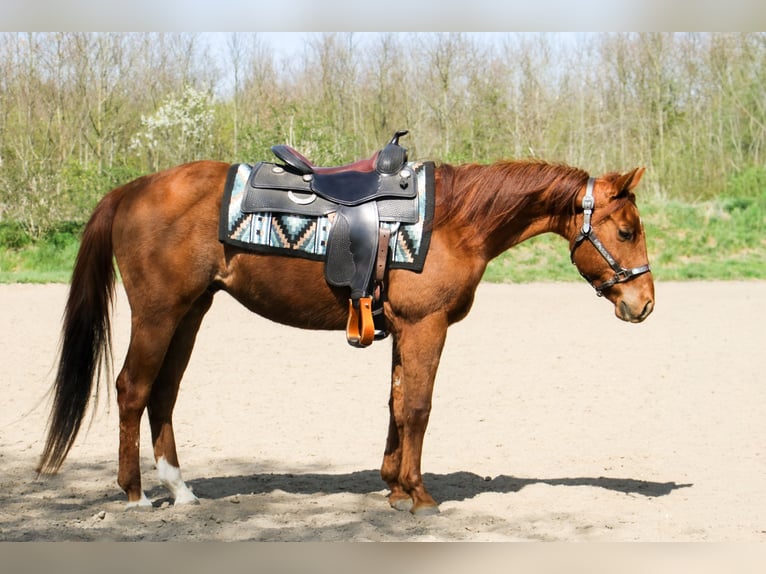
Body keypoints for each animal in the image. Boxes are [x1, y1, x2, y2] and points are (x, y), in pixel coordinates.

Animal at [37, 153, 654, 515]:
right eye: (626, 231)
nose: (644, 304)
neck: (454, 220)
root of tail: (134, 188)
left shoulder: (404, 331)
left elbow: (397, 403)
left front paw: (395, 486)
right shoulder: (426, 327)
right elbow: (419, 407)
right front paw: (420, 496)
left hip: (190, 313)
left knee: (163, 394)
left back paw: (180, 489)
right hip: (159, 313)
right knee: (133, 390)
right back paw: (136, 494)